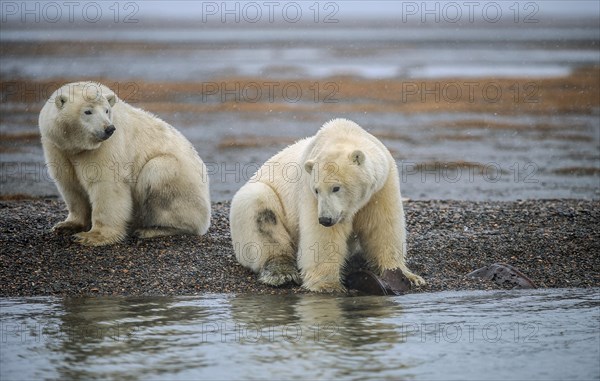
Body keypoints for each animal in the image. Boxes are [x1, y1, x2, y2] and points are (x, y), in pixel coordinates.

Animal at [39, 81, 211, 245]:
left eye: (106, 110)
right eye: (88, 111)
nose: (108, 128)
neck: (77, 147)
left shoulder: (107, 147)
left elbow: (107, 185)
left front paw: (93, 236)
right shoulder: (57, 146)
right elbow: (70, 185)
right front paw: (66, 225)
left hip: (183, 187)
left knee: (157, 173)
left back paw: (150, 230)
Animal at [229, 118, 422, 290]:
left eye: (336, 188)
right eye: (317, 190)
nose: (325, 219)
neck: (343, 134)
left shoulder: (382, 186)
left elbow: (382, 227)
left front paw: (408, 276)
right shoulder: (309, 192)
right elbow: (322, 238)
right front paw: (328, 285)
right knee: (261, 210)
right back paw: (282, 272)